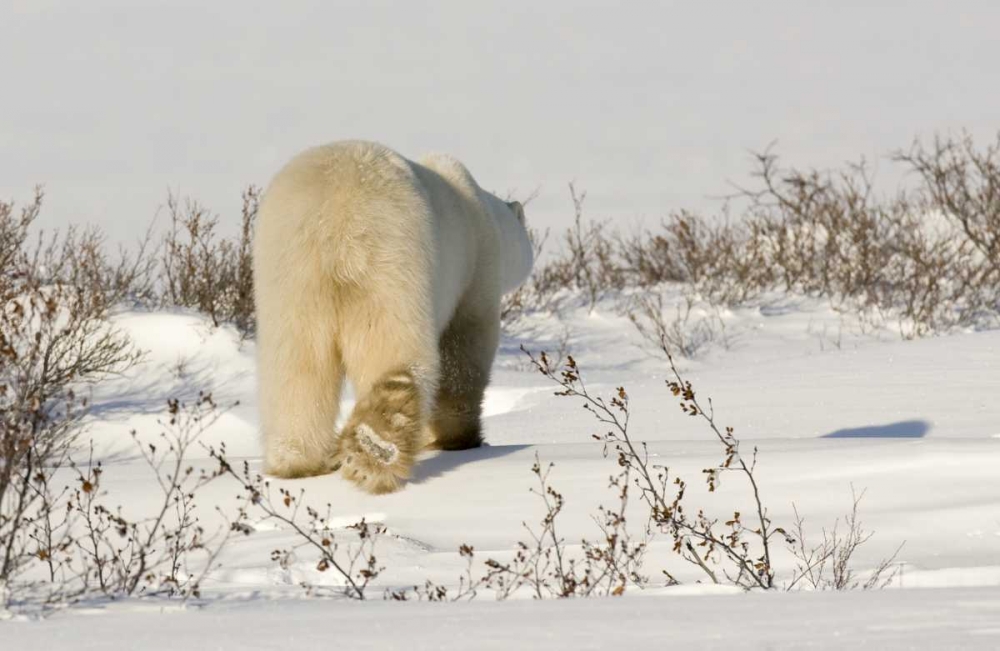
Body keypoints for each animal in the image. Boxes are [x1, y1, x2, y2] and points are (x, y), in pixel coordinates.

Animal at [252, 141, 532, 494]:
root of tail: (334, 221)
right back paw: (375, 452)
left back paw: (298, 462)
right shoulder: (475, 276)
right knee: (394, 352)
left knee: (295, 367)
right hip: (392, 259)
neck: (484, 214)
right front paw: (459, 439)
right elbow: (462, 356)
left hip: (288, 275)